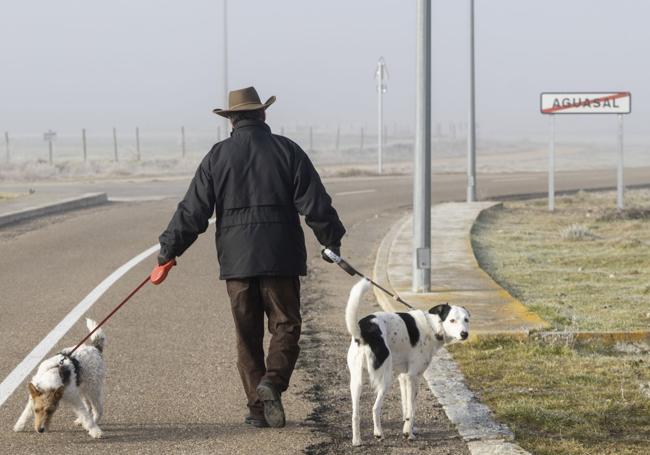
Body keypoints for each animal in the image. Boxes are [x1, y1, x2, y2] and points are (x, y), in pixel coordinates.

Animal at [346, 280, 468, 448]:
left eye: (466, 320)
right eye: (452, 320)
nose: (465, 334)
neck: (433, 326)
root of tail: (363, 332)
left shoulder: (403, 377)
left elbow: (405, 406)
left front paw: (408, 427)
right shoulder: (413, 377)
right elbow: (412, 409)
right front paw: (408, 433)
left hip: (356, 381)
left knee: (355, 414)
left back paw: (357, 440)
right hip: (385, 379)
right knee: (375, 408)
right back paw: (378, 433)